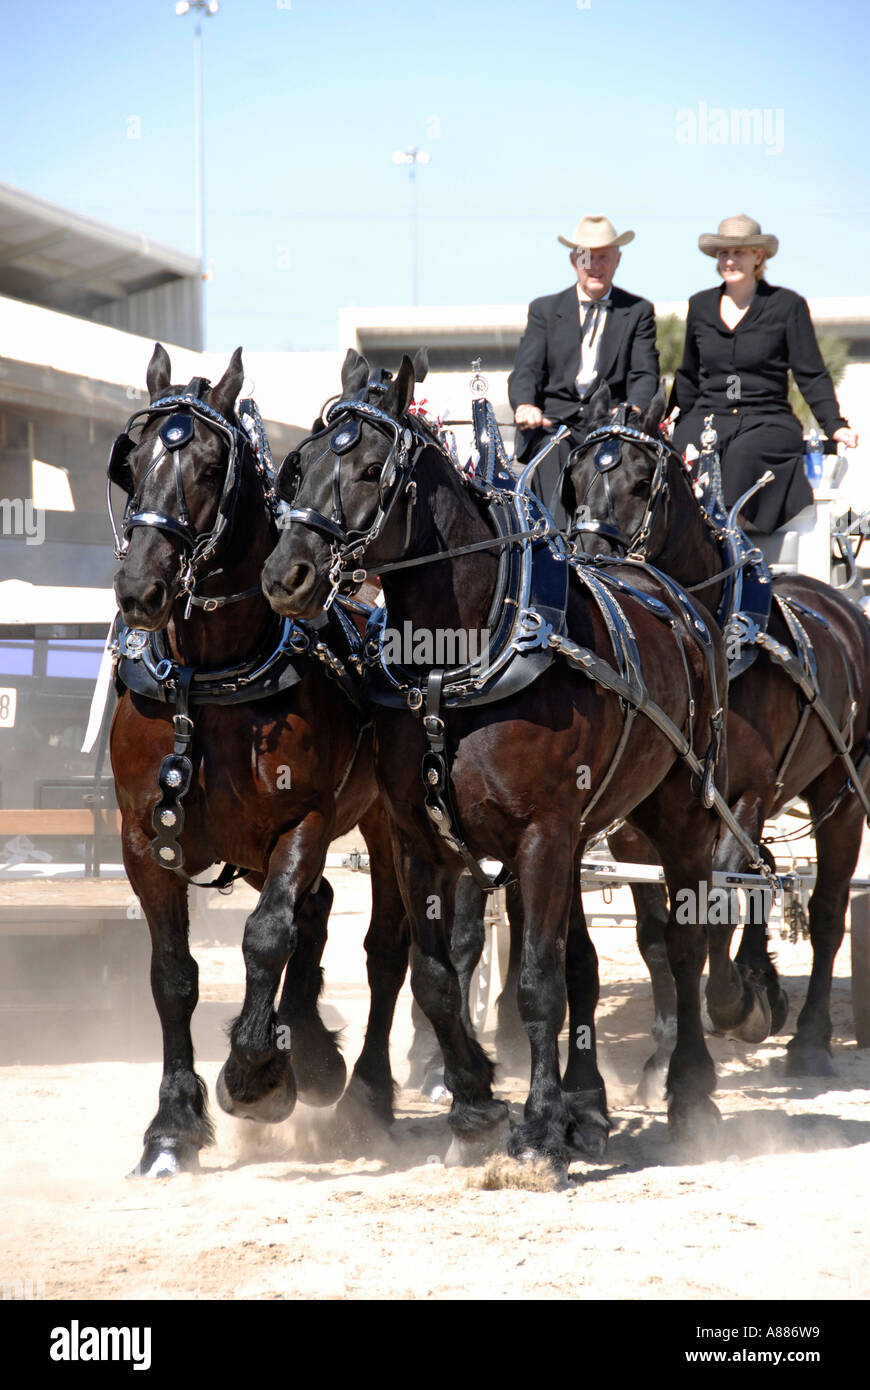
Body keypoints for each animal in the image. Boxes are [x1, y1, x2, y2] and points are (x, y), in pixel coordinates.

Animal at [108, 343, 409, 1176]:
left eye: (212, 467)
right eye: (131, 460)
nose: (140, 588)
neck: (209, 682)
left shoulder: (303, 820)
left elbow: (266, 936)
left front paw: (256, 1076)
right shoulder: (143, 839)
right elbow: (173, 975)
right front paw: (172, 1127)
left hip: (386, 824)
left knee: (383, 947)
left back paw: (359, 1087)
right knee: (319, 911)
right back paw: (310, 1046)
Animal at [260, 347, 759, 1165]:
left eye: (369, 469)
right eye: (296, 467)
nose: (285, 576)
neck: (454, 666)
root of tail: (674, 595)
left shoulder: (543, 834)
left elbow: (536, 981)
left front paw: (538, 1129)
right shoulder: (421, 839)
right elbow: (437, 976)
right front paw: (476, 1103)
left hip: (680, 815)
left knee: (682, 945)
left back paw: (687, 1089)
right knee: (582, 957)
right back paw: (589, 1102)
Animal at [564, 380, 870, 1077]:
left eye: (642, 481)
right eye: (574, 476)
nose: (591, 566)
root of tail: (842, 604)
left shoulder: (745, 795)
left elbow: (716, 912)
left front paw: (733, 1006)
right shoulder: (635, 820)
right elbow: (658, 932)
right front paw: (664, 1052)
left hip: (841, 792)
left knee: (827, 908)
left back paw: (809, 1039)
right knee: (766, 875)